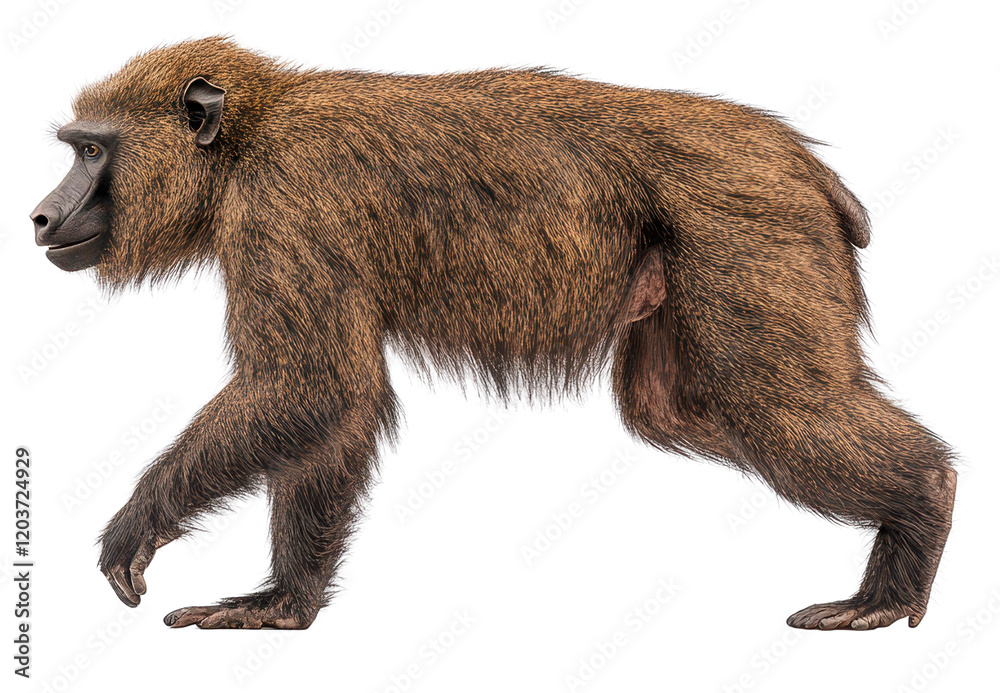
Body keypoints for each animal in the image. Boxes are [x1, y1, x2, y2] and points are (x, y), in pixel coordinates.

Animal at [30, 37, 956, 631]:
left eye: (91, 152)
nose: (41, 213)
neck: (251, 132)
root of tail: (796, 159)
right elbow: (335, 406)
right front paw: (285, 602)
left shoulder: (284, 200)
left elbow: (308, 388)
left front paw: (138, 522)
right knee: (678, 411)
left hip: (748, 217)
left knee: (776, 406)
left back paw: (922, 507)